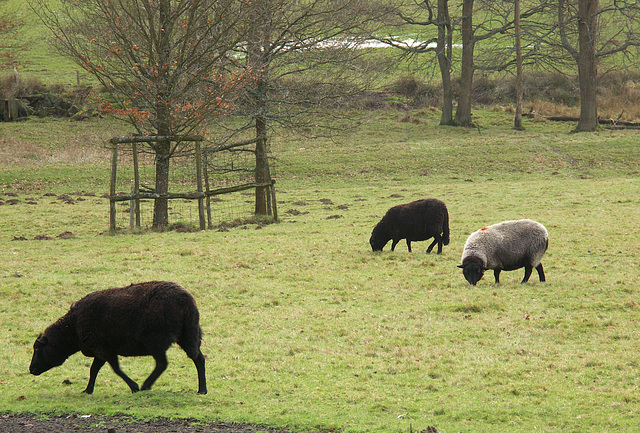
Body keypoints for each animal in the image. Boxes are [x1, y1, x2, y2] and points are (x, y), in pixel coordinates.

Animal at [30, 280, 208, 394]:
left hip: (156, 339)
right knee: (198, 358)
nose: (31, 369)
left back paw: (146, 385)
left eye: (38, 349)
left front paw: (134, 387)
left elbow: (115, 369)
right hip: (188, 333)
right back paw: (202, 390)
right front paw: (88, 390)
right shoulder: (101, 348)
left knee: (162, 364)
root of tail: (187, 302)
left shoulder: (103, 348)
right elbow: (94, 370)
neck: (72, 327)